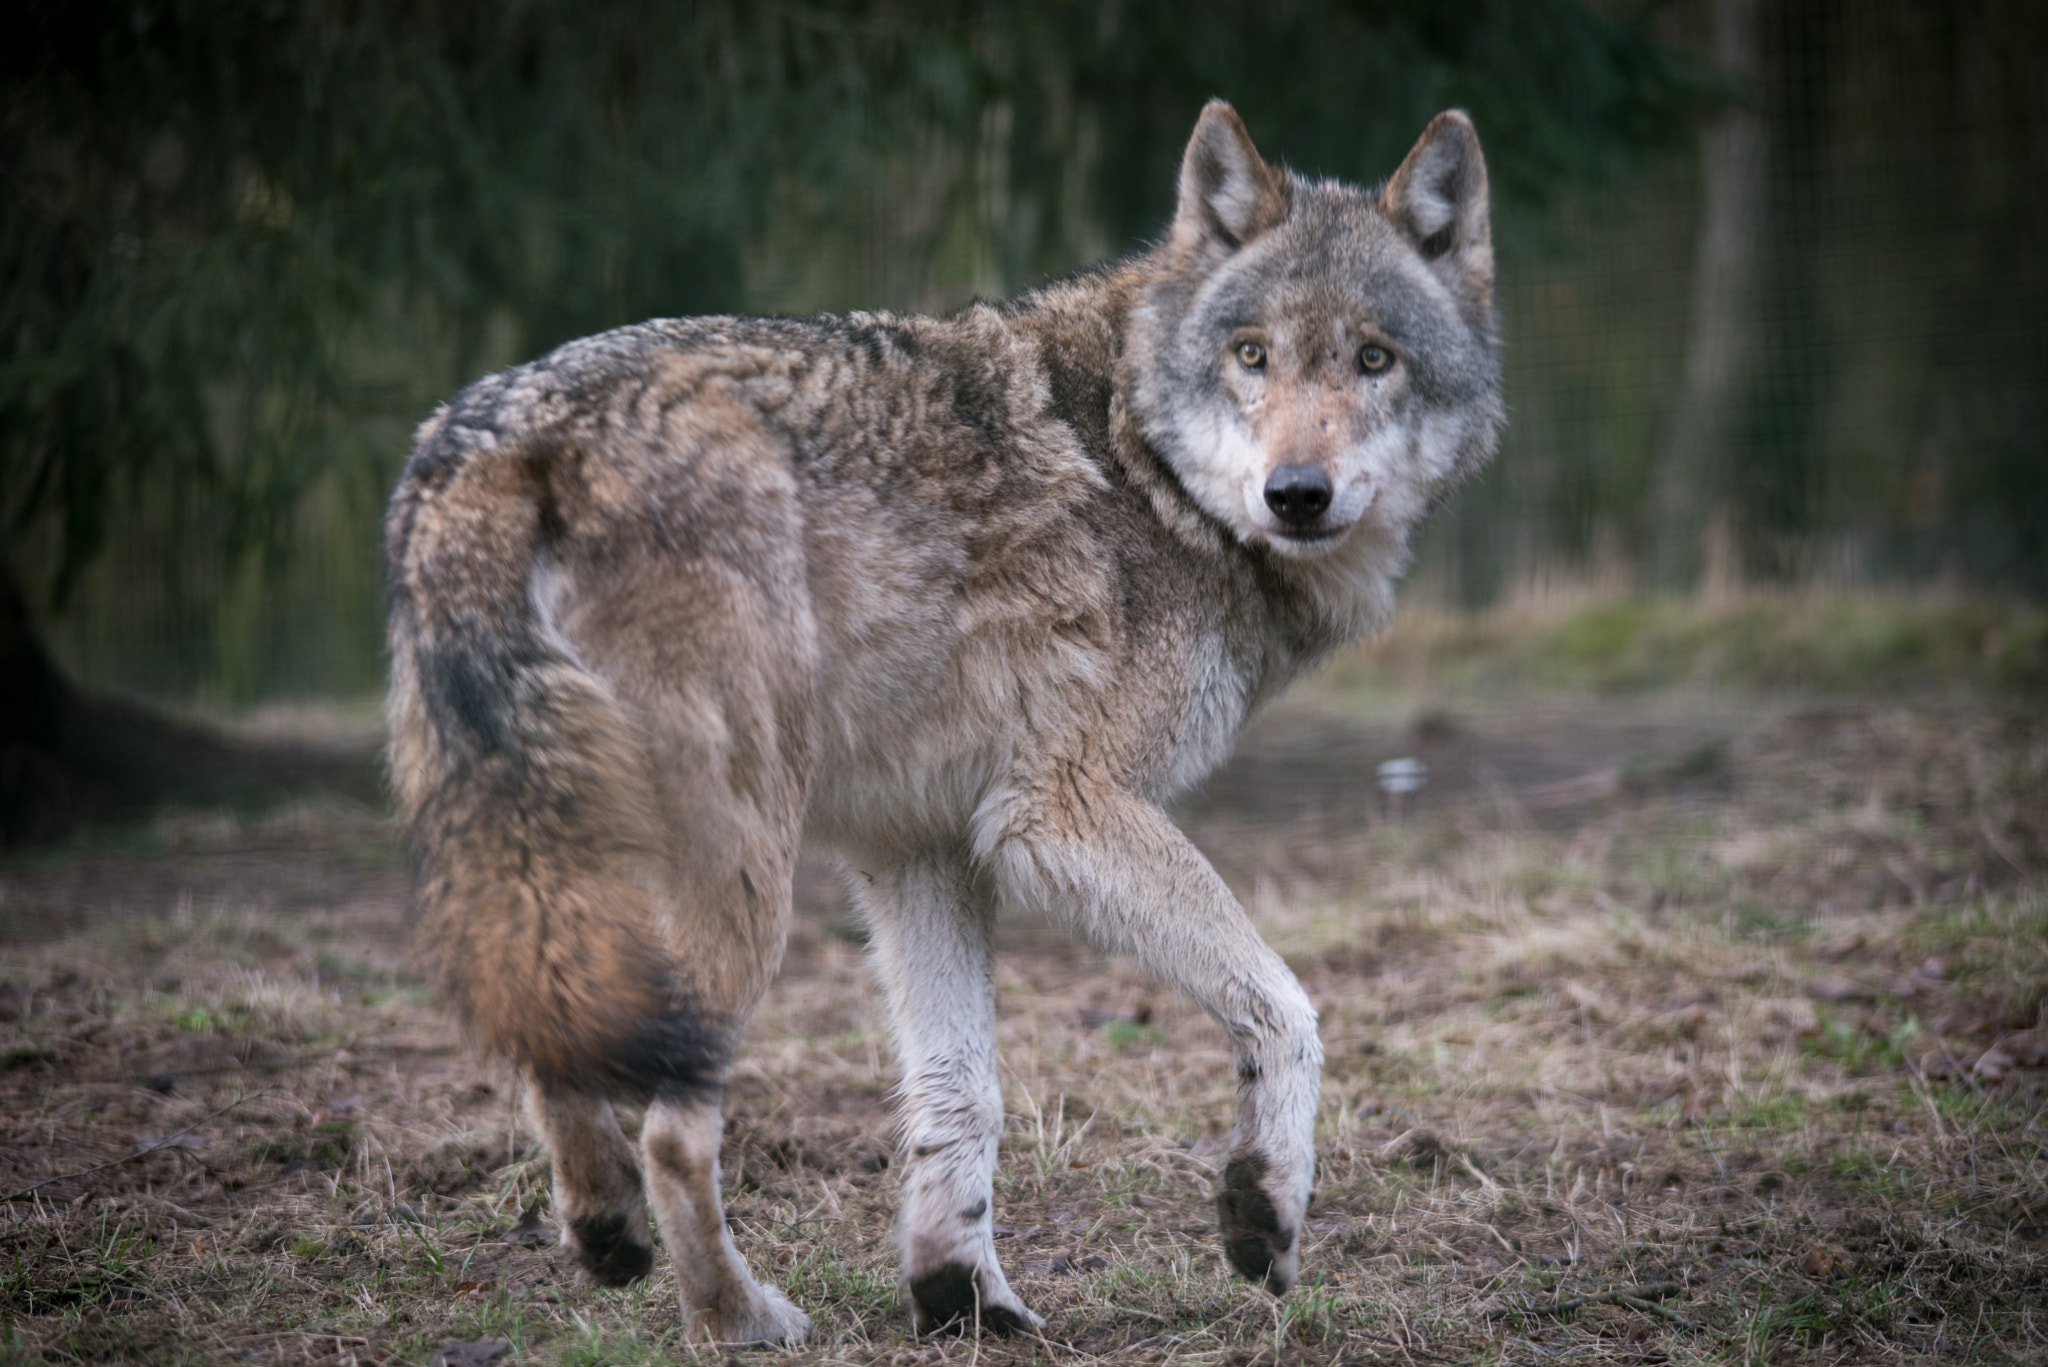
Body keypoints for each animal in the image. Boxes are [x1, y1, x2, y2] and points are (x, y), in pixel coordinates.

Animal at [387, 101, 1507, 1344]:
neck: (1146, 466)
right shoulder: (1056, 814)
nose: (1296, 493)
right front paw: (1262, 1208)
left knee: (549, 1044)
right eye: (1250, 354)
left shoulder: (921, 850)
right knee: (674, 1132)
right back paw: (740, 1318)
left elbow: (960, 1093)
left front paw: (960, 1295)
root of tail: (513, 432)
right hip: (744, 883)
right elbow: (1286, 1005)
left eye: (1373, 359)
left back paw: (606, 1232)